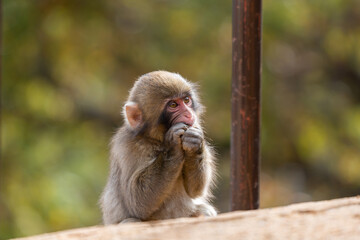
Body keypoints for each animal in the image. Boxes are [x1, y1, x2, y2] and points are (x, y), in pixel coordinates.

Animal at [98, 70, 217, 224]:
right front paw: (173, 144)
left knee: (205, 210)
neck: (157, 140)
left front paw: (194, 143)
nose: (189, 114)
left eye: (186, 100)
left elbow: (194, 190)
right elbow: (137, 202)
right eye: (173, 105)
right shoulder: (128, 147)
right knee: (131, 221)